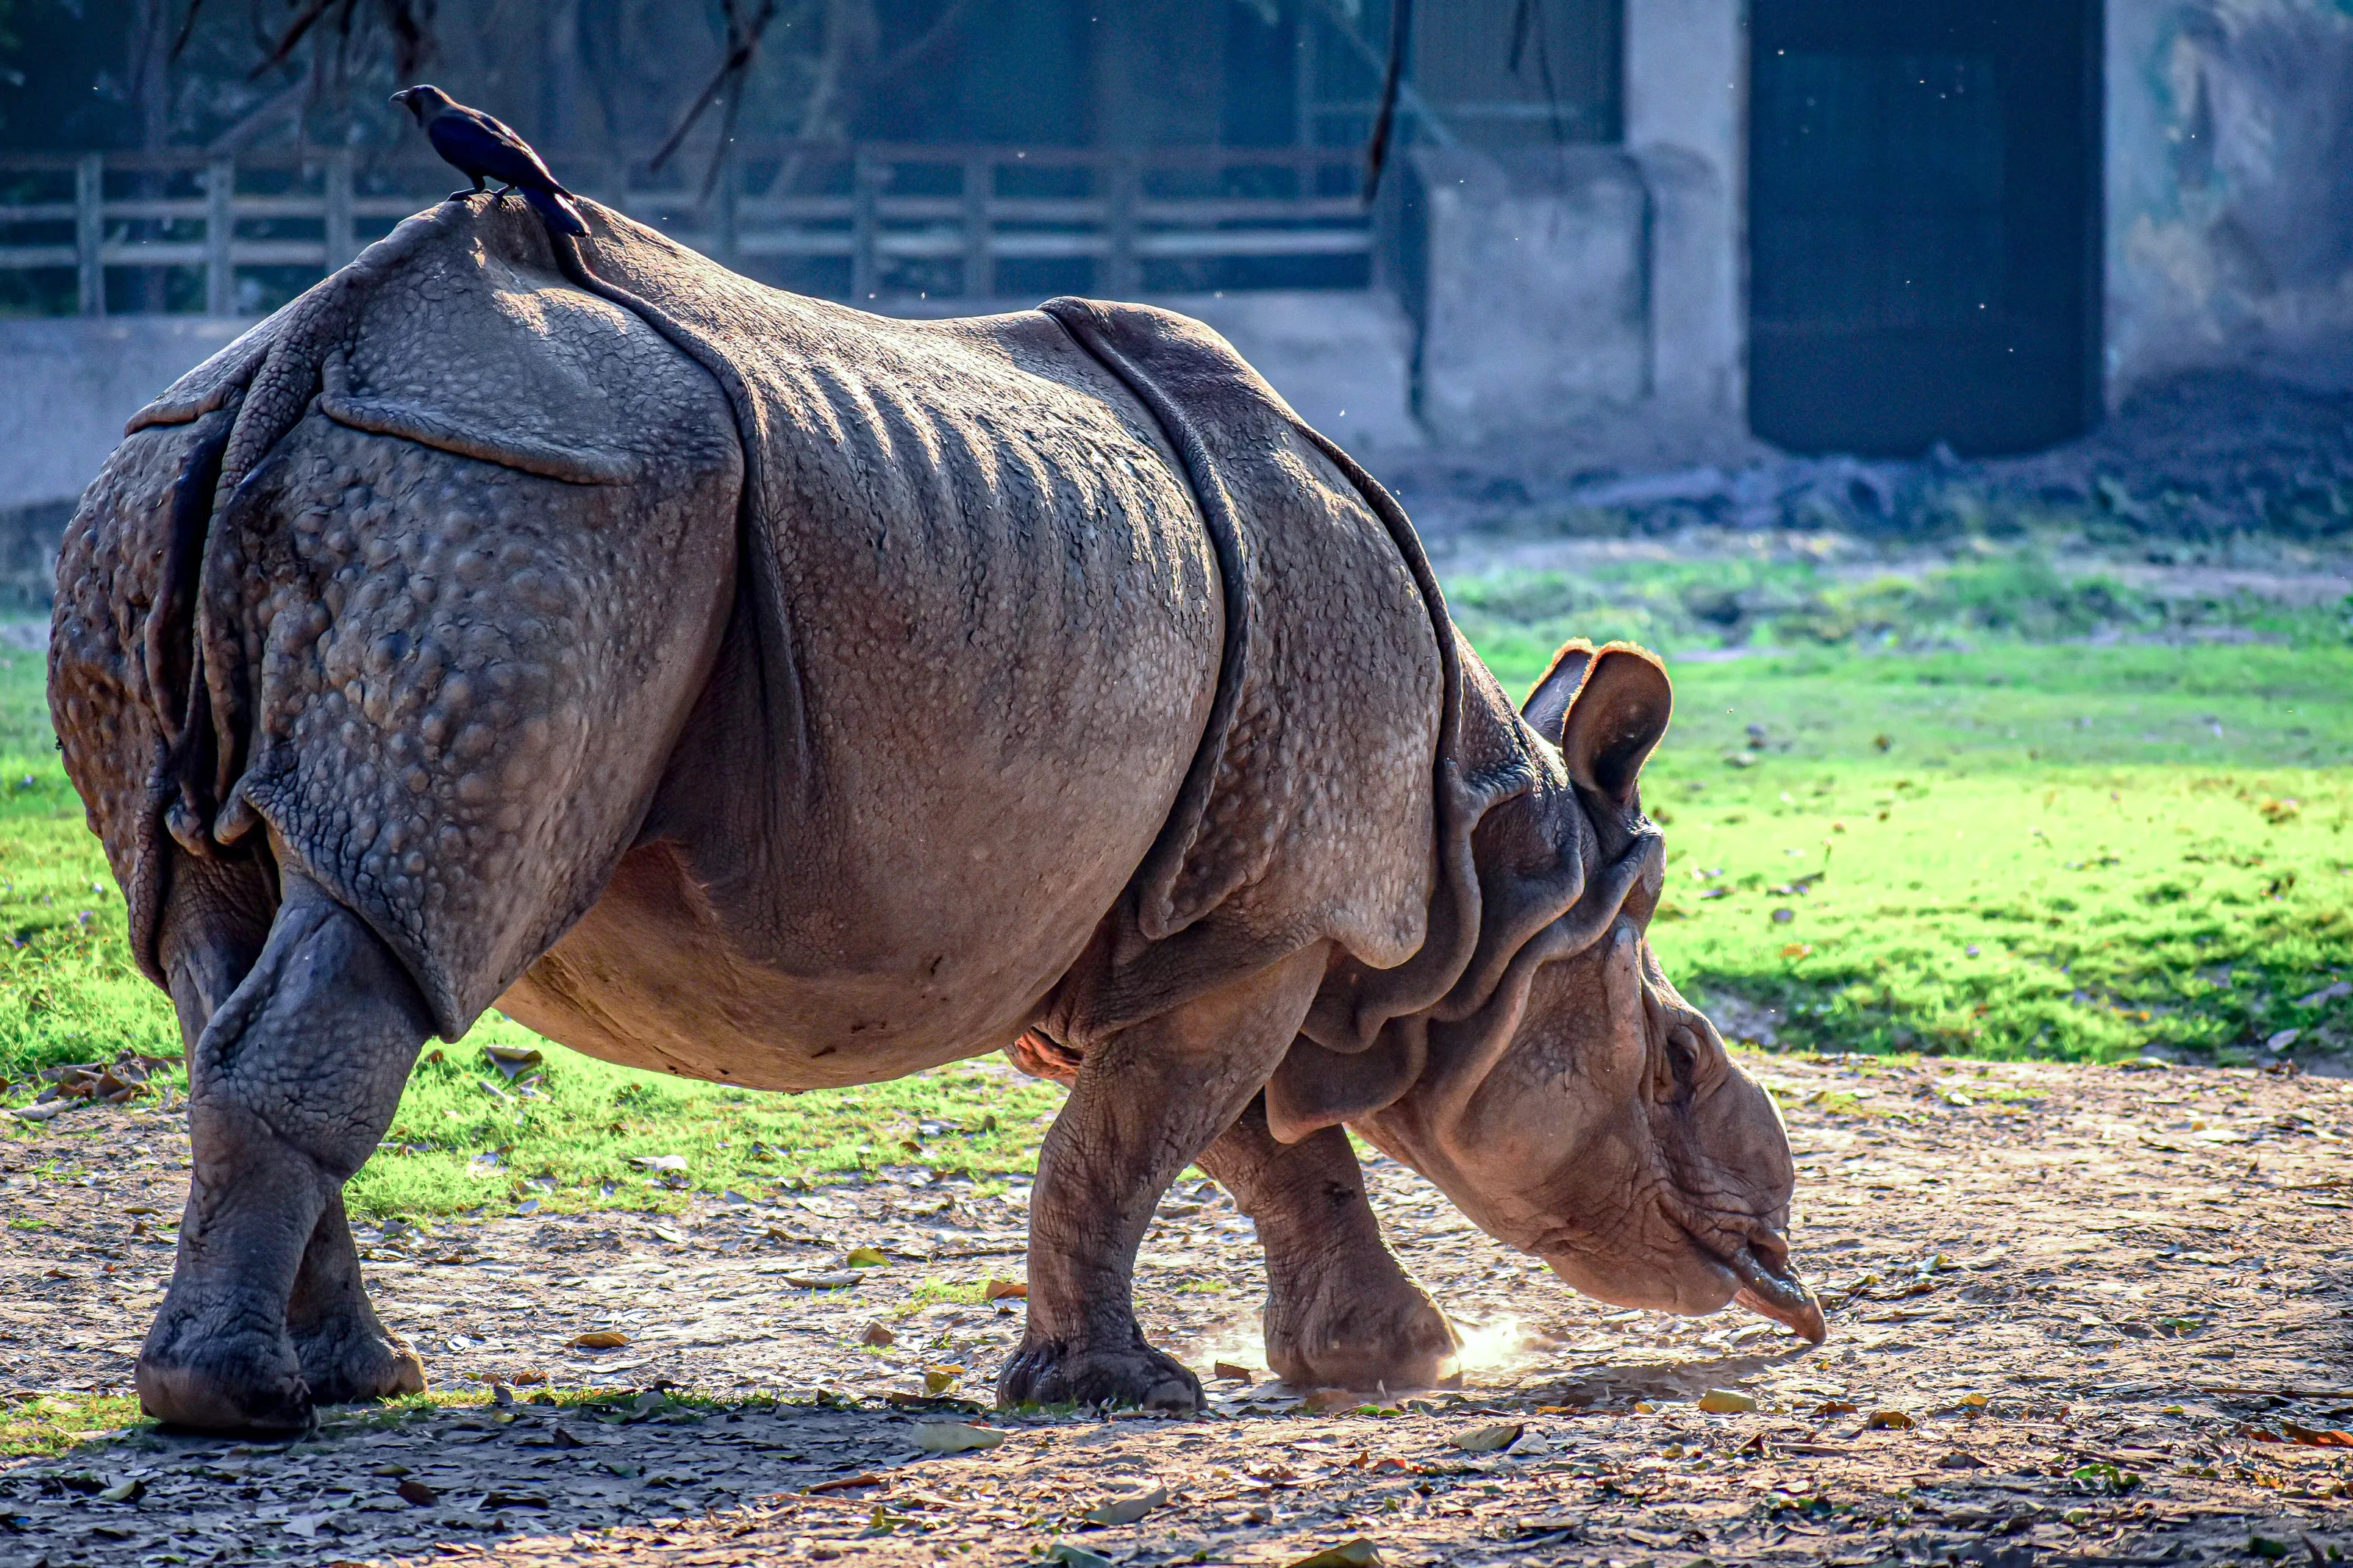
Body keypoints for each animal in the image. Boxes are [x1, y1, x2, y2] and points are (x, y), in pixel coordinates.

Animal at [49, 197, 1824, 1434]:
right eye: (1674, 1065)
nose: (1786, 1273)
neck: (1487, 877)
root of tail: (302, 356)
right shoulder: (1276, 915)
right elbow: (1134, 1140)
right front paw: (1121, 1394)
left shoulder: (1212, 916)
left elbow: (1246, 1146)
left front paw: (1396, 1364)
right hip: (521, 503)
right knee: (397, 919)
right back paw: (246, 1410)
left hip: (176, 479)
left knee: (219, 927)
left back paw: (355, 1381)